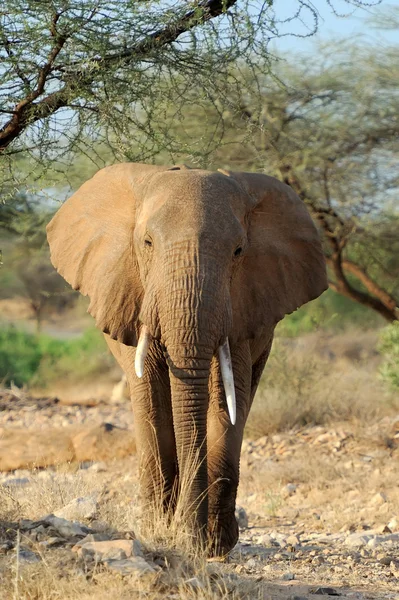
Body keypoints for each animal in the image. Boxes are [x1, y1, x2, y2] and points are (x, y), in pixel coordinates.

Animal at [47, 164, 328, 556]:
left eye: (239, 251)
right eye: (147, 243)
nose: (187, 537)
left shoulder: (240, 308)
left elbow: (228, 398)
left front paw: (210, 546)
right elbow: (150, 395)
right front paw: (160, 532)